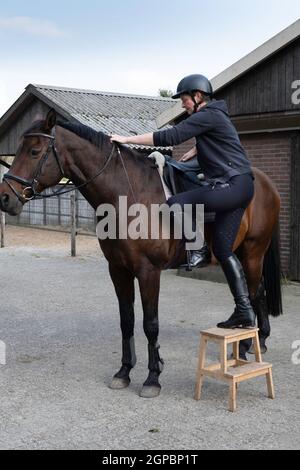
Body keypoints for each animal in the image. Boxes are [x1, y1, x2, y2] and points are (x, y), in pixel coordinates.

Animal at [0, 109, 282, 396]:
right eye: (18, 150)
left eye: (35, 151)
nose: (5, 198)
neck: (126, 196)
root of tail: (264, 182)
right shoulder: (118, 270)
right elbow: (127, 321)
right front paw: (124, 371)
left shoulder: (148, 272)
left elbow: (150, 324)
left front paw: (152, 377)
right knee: (256, 292)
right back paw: (256, 340)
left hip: (252, 253)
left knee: (253, 293)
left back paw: (246, 346)